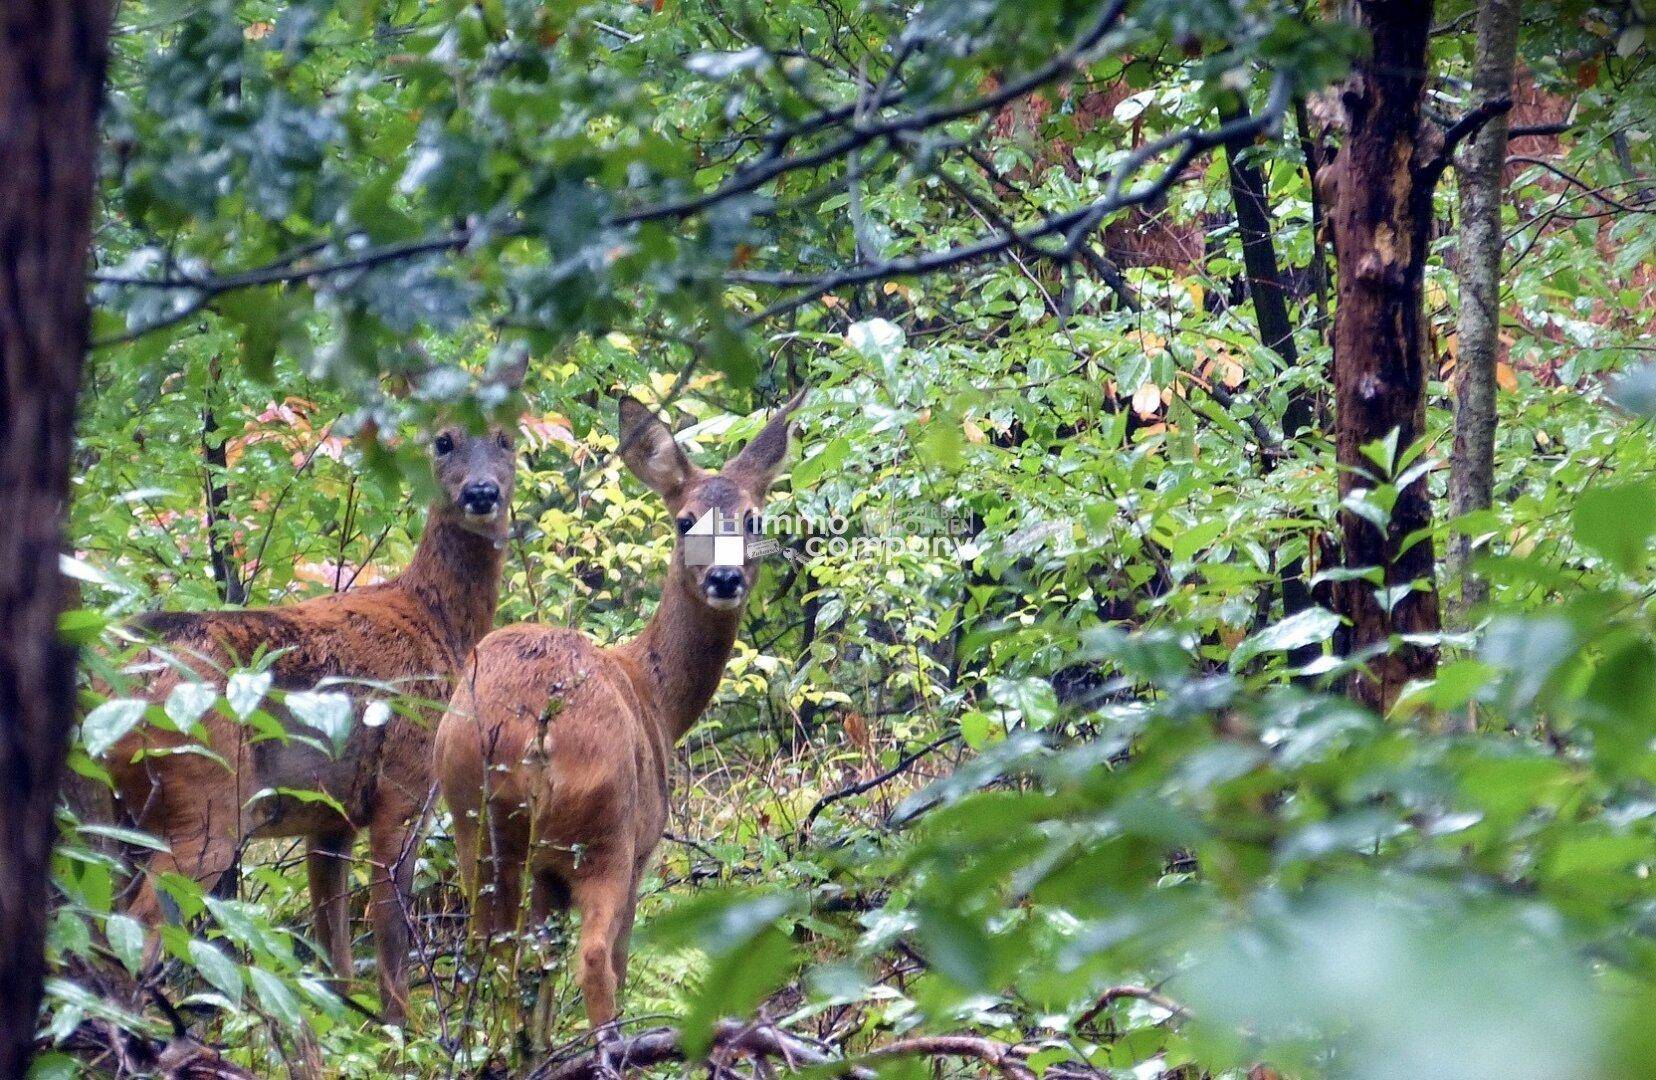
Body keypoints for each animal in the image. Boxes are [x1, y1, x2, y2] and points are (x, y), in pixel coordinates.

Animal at [108, 361, 523, 1020]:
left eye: (508, 438)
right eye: (443, 440)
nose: (481, 493)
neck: (440, 623)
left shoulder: (330, 819)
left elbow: (335, 960)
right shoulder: (403, 784)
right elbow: (388, 932)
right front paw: (404, 1033)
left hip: (122, 815)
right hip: (206, 801)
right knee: (139, 928)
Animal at [437, 392, 804, 1033]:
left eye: (753, 519)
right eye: (684, 520)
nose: (725, 577)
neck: (656, 695)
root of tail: (531, 734)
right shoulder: (643, 846)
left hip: (474, 822)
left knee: (496, 956)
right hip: (604, 833)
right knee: (594, 959)